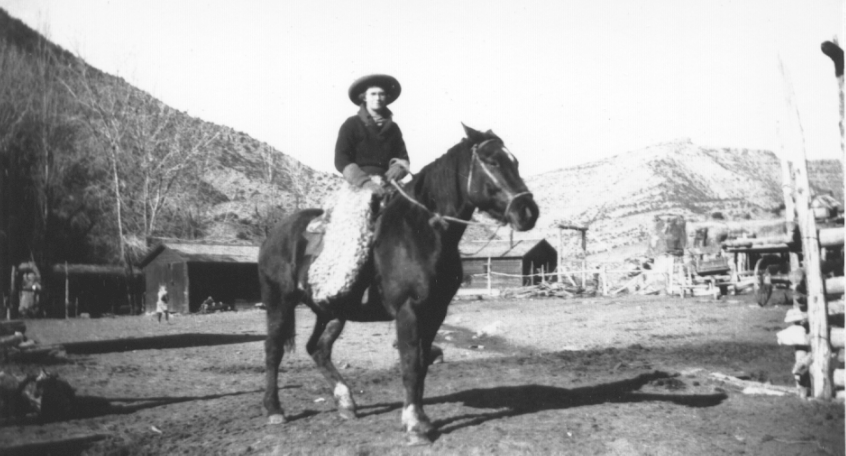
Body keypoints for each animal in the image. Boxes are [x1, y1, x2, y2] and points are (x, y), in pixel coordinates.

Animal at [255, 123, 540, 444]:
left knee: (318, 348)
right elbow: (410, 363)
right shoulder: (409, 310)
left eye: (514, 161)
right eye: (493, 162)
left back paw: (346, 403)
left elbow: (422, 363)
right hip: (279, 303)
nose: (528, 211)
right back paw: (274, 409)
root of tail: (275, 233)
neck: (420, 232)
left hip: (331, 311)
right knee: (274, 350)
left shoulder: (435, 311)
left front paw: (420, 419)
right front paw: (415, 426)